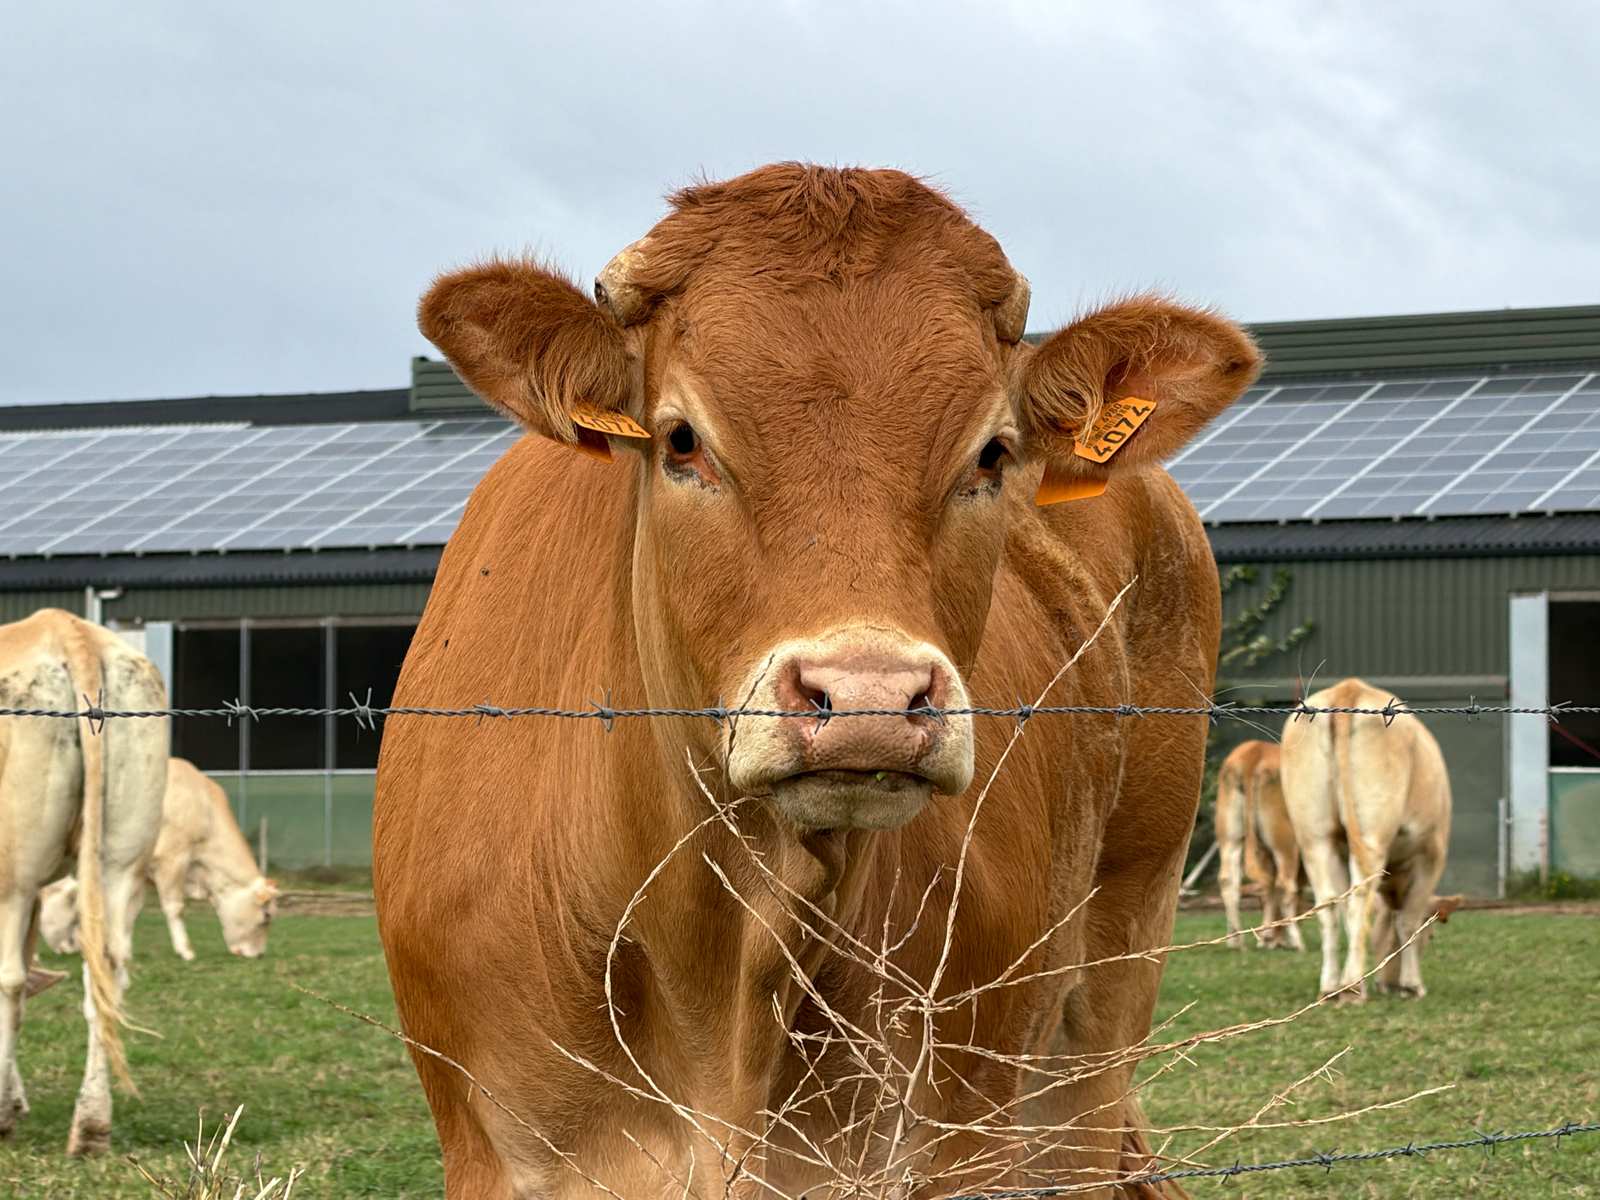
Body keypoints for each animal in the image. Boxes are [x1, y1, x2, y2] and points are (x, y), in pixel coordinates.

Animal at [0, 608, 169, 1154]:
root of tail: (67, 630)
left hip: (15, 864)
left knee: (10, 978)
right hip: (123, 854)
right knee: (107, 972)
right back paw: (92, 1125)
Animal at [38, 756, 279, 962]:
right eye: (267, 915)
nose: (259, 954)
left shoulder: (139, 869)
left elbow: (131, 909)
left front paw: (123, 950)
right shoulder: (172, 859)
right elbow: (174, 906)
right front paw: (185, 950)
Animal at [1215, 740, 1305, 951]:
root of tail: (1255, 751)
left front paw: (1267, 938)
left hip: (1230, 836)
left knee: (1229, 879)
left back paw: (1236, 941)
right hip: (1285, 841)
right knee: (1284, 884)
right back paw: (1297, 941)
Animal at [1279, 677, 1460, 1000]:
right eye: (1431, 935)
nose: (1387, 982)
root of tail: (1348, 688)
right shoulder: (1432, 855)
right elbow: (1408, 920)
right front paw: (1412, 984)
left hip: (1314, 836)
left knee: (1329, 903)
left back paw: (1331, 985)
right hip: (1372, 833)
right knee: (1358, 896)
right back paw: (1353, 985)